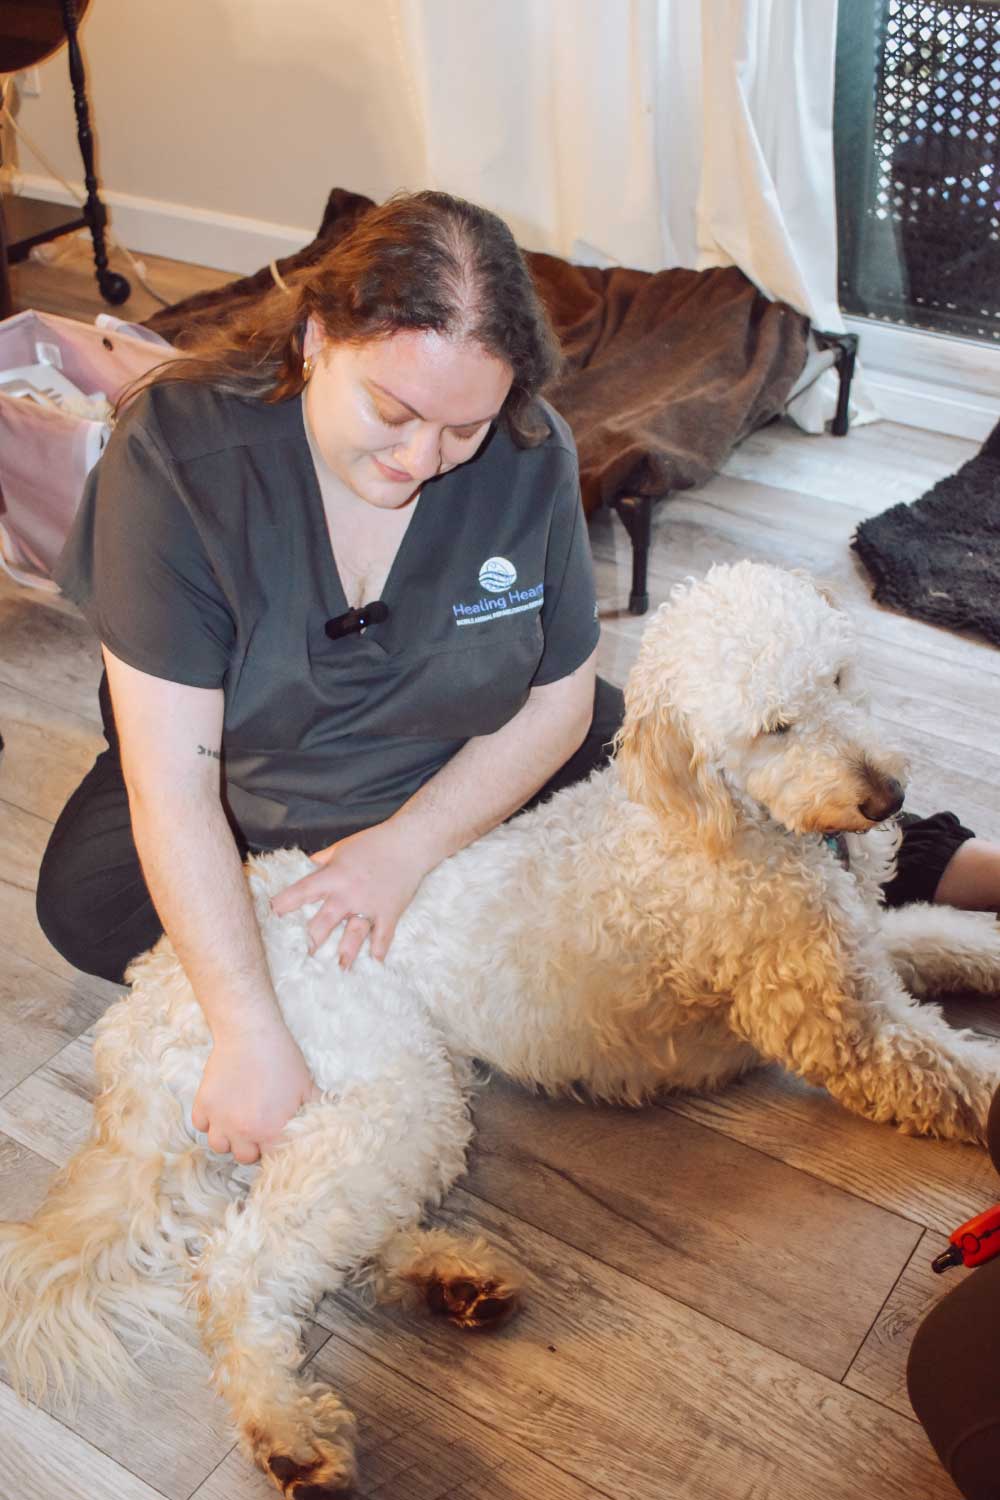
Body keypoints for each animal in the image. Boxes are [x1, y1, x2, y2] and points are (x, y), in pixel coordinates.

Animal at [1, 558, 1000, 1494]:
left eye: (838, 677)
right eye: (774, 728)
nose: (887, 796)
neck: (716, 818)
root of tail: (154, 996)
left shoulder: (866, 957)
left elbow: (946, 937)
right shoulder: (852, 1030)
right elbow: (961, 1077)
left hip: (381, 1113)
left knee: (325, 1236)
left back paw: (447, 1277)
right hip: (384, 1100)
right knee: (239, 1270)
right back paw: (290, 1432)